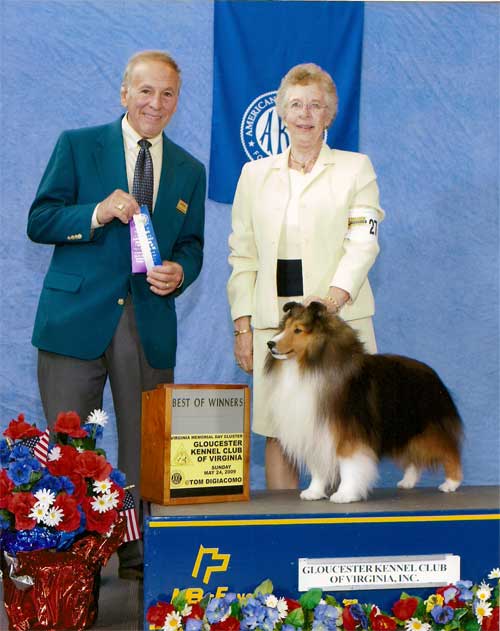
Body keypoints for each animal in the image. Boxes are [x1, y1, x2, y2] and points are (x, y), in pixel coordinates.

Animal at [264, 301, 463, 503]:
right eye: (284, 327)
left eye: (298, 330)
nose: (270, 344)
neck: (311, 365)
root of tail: (432, 373)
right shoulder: (315, 431)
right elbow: (318, 467)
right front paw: (314, 492)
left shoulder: (347, 432)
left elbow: (348, 465)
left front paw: (344, 494)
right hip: (405, 429)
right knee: (414, 457)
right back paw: (408, 481)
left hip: (429, 429)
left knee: (449, 452)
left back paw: (451, 483)